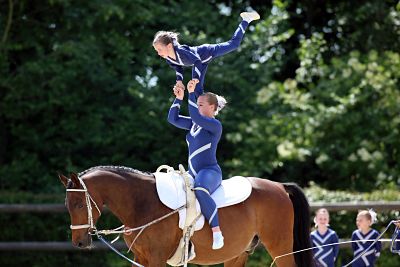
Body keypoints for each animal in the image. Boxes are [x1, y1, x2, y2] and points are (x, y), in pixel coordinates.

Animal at [59, 166, 316, 266]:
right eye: (67, 205)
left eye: (79, 204)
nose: (79, 242)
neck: (142, 203)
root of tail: (280, 186)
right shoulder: (141, 258)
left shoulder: (156, 258)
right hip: (238, 254)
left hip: (281, 248)